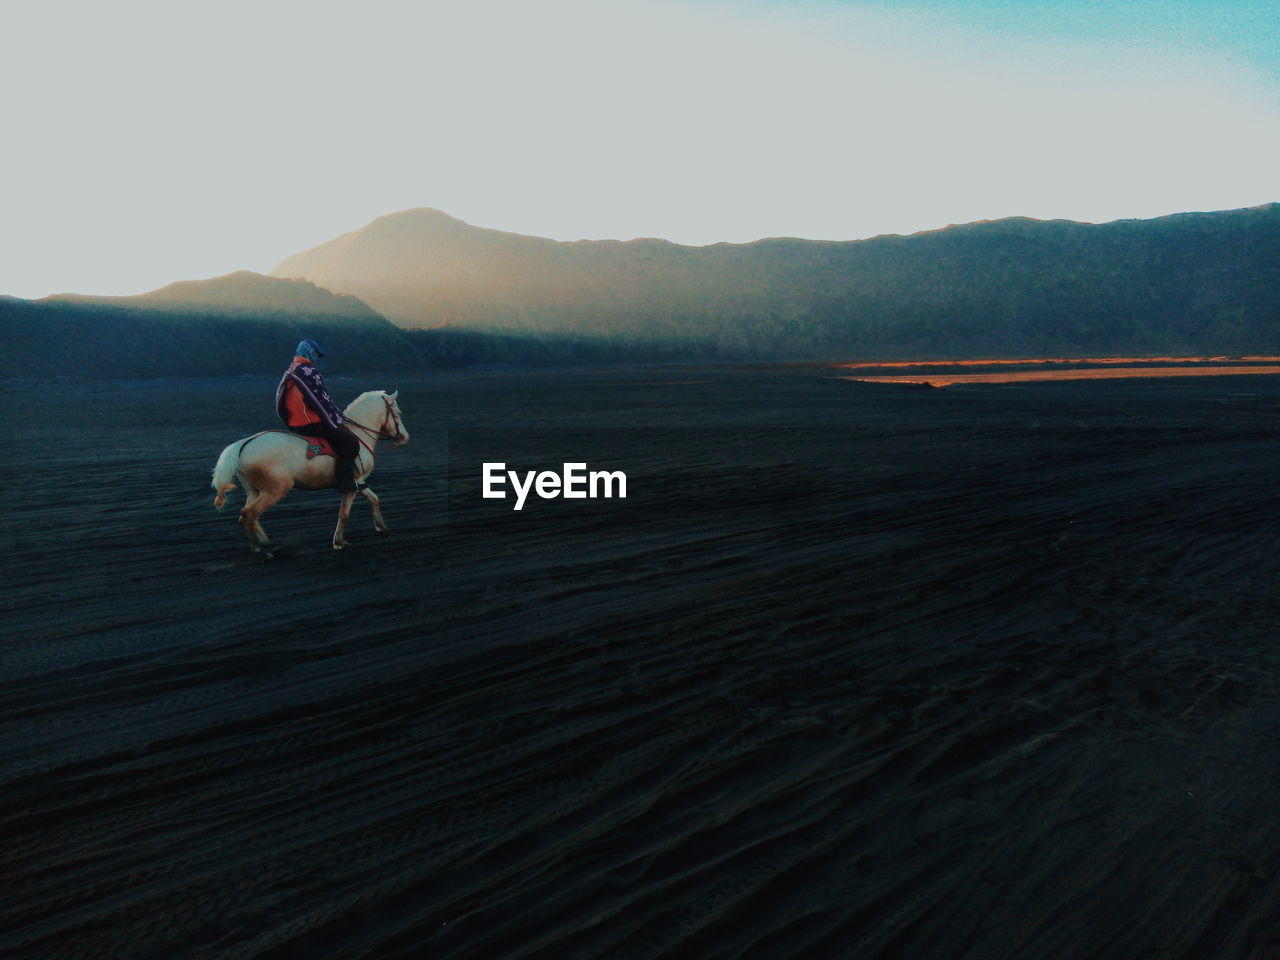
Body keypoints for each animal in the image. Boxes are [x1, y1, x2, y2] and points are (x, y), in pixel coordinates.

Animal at [212, 391, 407, 555]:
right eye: (398, 413)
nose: (405, 438)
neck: (358, 435)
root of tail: (243, 444)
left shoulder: (358, 482)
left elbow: (374, 498)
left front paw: (382, 527)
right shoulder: (352, 483)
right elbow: (344, 513)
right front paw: (339, 542)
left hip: (254, 491)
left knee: (247, 516)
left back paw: (263, 544)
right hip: (275, 490)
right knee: (249, 514)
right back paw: (263, 549)